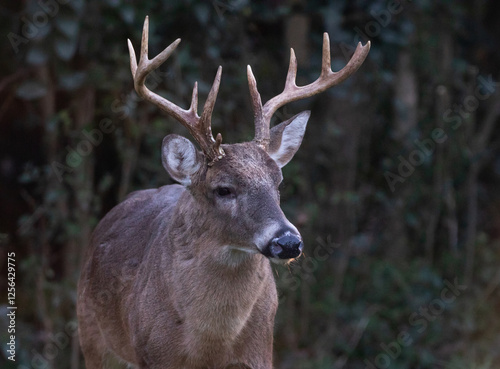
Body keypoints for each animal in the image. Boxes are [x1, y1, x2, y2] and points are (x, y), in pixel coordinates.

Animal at [77, 15, 368, 368]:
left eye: (278, 183)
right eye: (223, 189)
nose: (287, 241)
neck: (210, 345)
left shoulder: (261, 352)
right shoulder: (153, 354)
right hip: (92, 337)